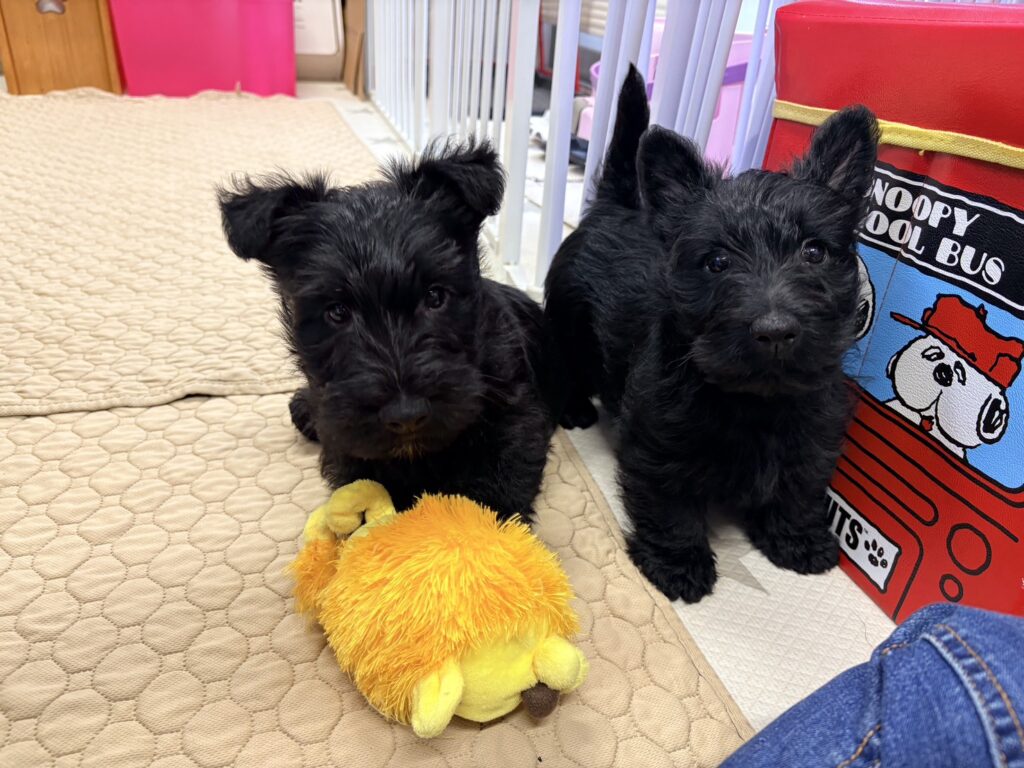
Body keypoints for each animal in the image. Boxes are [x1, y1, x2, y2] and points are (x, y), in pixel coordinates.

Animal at [219, 139, 564, 521]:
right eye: (337, 311)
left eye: (435, 296)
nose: (406, 416)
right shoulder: (352, 448)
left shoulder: (517, 412)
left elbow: (497, 482)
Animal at [544, 66, 880, 601]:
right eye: (717, 261)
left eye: (814, 252)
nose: (775, 331)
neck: (755, 400)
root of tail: (615, 206)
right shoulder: (660, 445)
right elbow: (671, 507)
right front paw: (679, 563)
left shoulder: (811, 429)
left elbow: (800, 485)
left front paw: (797, 539)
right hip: (566, 325)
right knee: (566, 366)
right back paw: (575, 408)